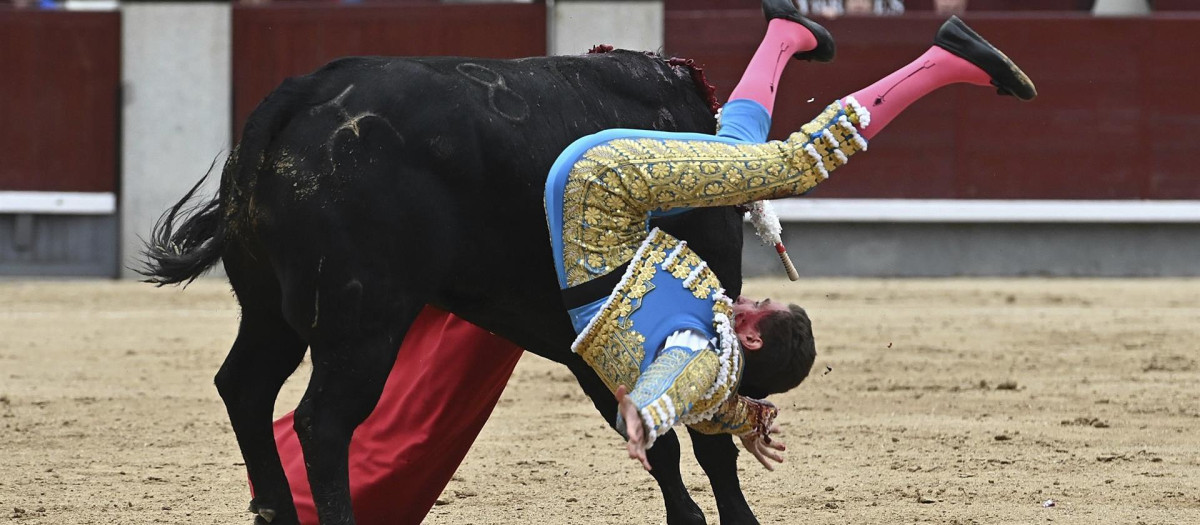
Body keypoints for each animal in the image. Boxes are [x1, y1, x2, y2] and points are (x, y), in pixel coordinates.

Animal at [147, 50, 768, 525]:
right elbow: (707, 433)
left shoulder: (592, 340)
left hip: (268, 311)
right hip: (362, 321)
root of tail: (299, 94)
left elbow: (656, 433)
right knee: (322, 422)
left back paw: (276, 510)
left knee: (245, 387)